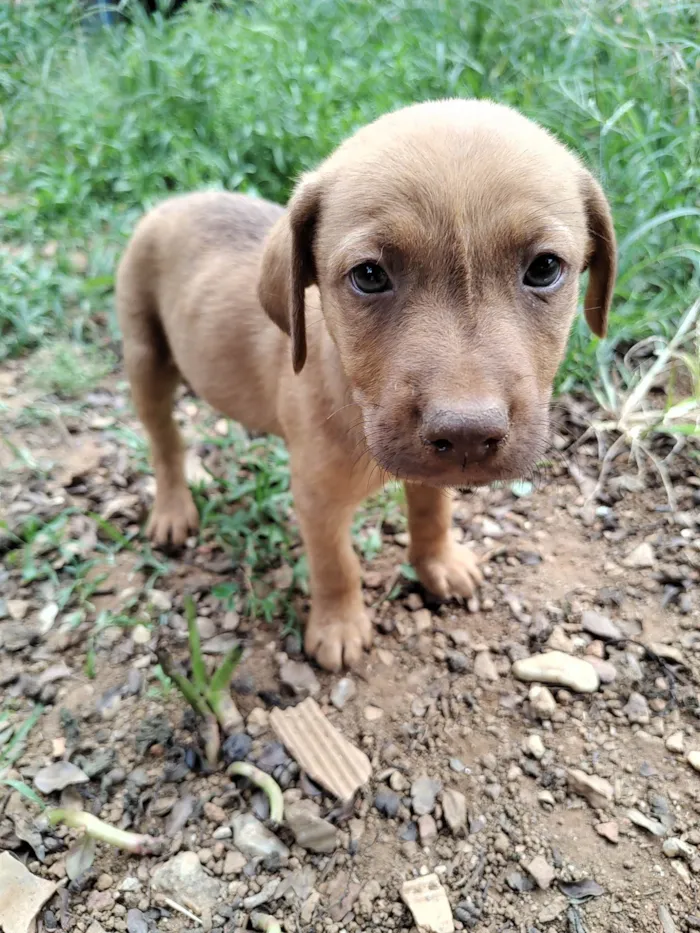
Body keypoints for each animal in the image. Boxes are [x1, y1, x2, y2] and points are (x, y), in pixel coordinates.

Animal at [117, 100, 616, 668]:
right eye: (370, 276)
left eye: (545, 268)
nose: (467, 436)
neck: (354, 401)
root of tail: (175, 200)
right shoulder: (316, 497)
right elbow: (336, 563)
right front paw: (338, 626)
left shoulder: (429, 471)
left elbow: (432, 511)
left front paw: (438, 563)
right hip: (145, 357)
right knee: (164, 441)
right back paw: (173, 507)